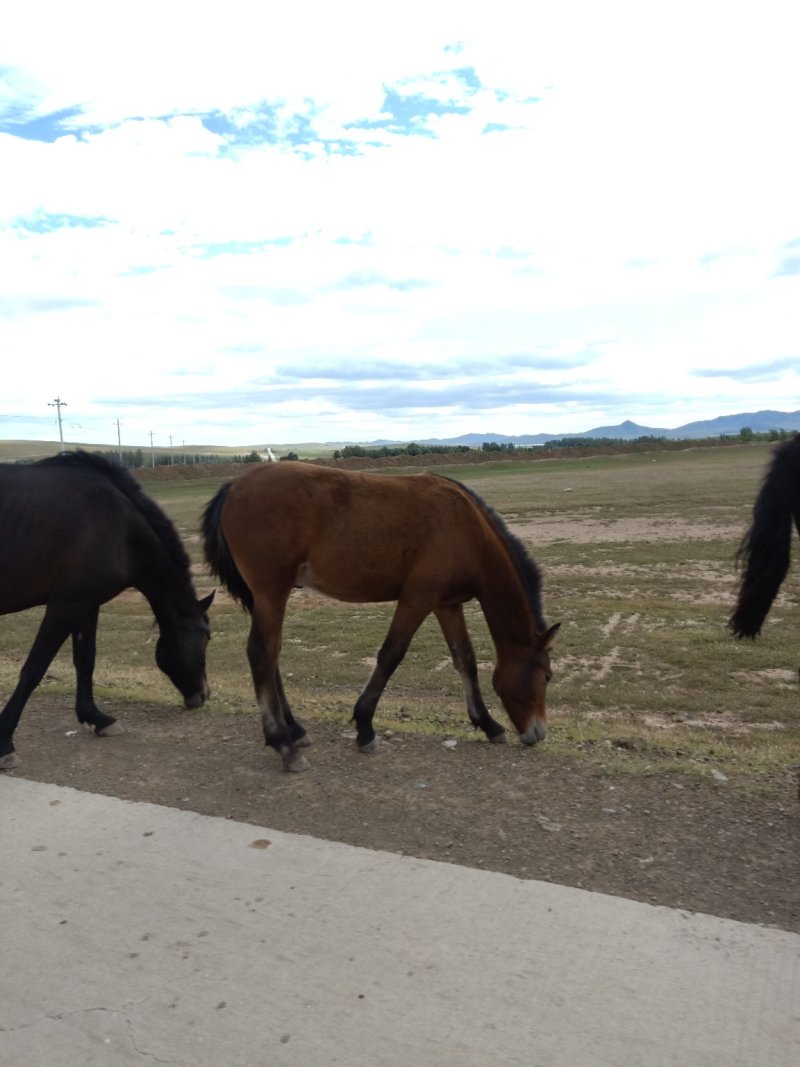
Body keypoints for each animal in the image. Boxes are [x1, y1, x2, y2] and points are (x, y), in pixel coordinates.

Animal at [0, 451, 214, 769]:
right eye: (205, 636)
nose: (203, 694)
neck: (118, 526)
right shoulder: (66, 605)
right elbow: (34, 669)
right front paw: (5, 741)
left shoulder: (87, 604)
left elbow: (85, 660)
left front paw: (96, 717)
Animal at [202, 461, 559, 772]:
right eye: (546, 676)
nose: (538, 732)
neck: (467, 529)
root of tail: (235, 485)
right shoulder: (418, 599)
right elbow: (391, 655)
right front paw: (364, 727)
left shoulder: (447, 605)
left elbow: (465, 660)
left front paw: (487, 723)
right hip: (271, 593)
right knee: (262, 654)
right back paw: (283, 744)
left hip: (266, 598)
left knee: (272, 655)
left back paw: (295, 730)